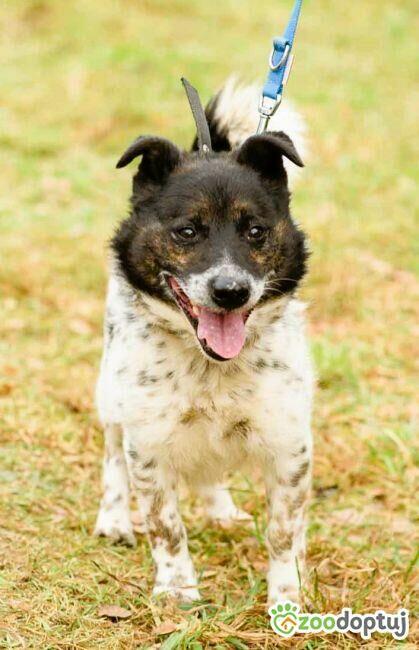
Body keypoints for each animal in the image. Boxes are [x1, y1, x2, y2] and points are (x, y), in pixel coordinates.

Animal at [94, 79, 312, 604]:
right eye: (187, 231)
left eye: (255, 231)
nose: (230, 291)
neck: (211, 366)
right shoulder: (148, 445)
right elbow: (165, 525)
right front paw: (177, 589)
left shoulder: (289, 447)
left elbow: (283, 532)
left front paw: (287, 597)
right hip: (110, 392)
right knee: (111, 456)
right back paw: (113, 517)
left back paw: (221, 511)